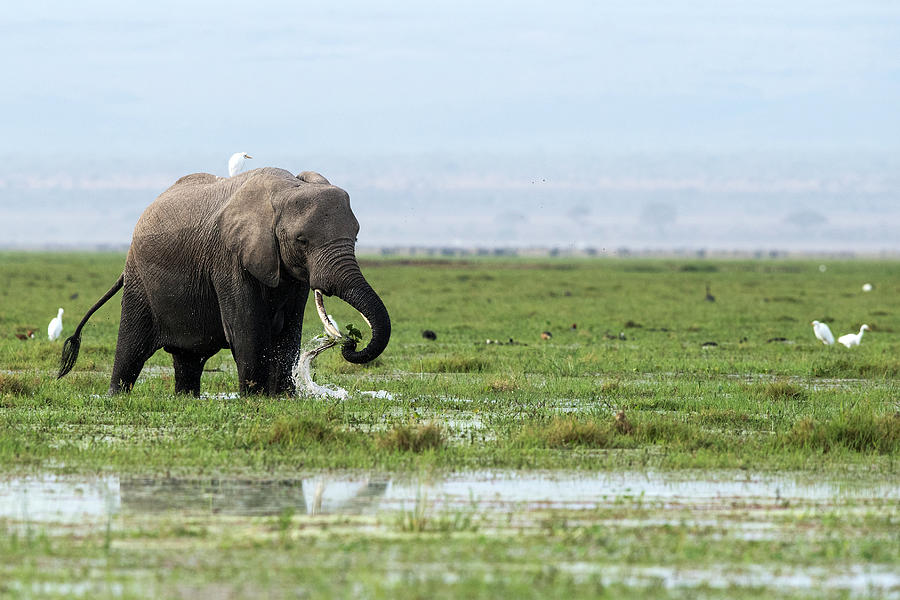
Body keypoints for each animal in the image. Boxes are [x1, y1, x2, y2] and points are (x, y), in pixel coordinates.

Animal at [59, 166, 390, 396]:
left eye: (356, 236)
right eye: (302, 240)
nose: (349, 341)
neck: (285, 189)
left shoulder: (290, 273)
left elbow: (289, 332)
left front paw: (284, 398)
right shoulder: (228, 258)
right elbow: (246, 327)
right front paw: (255, 399)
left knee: (188, 358)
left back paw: (187, 398)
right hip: (140, 279)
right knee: (132, 345)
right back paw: (117, 396)